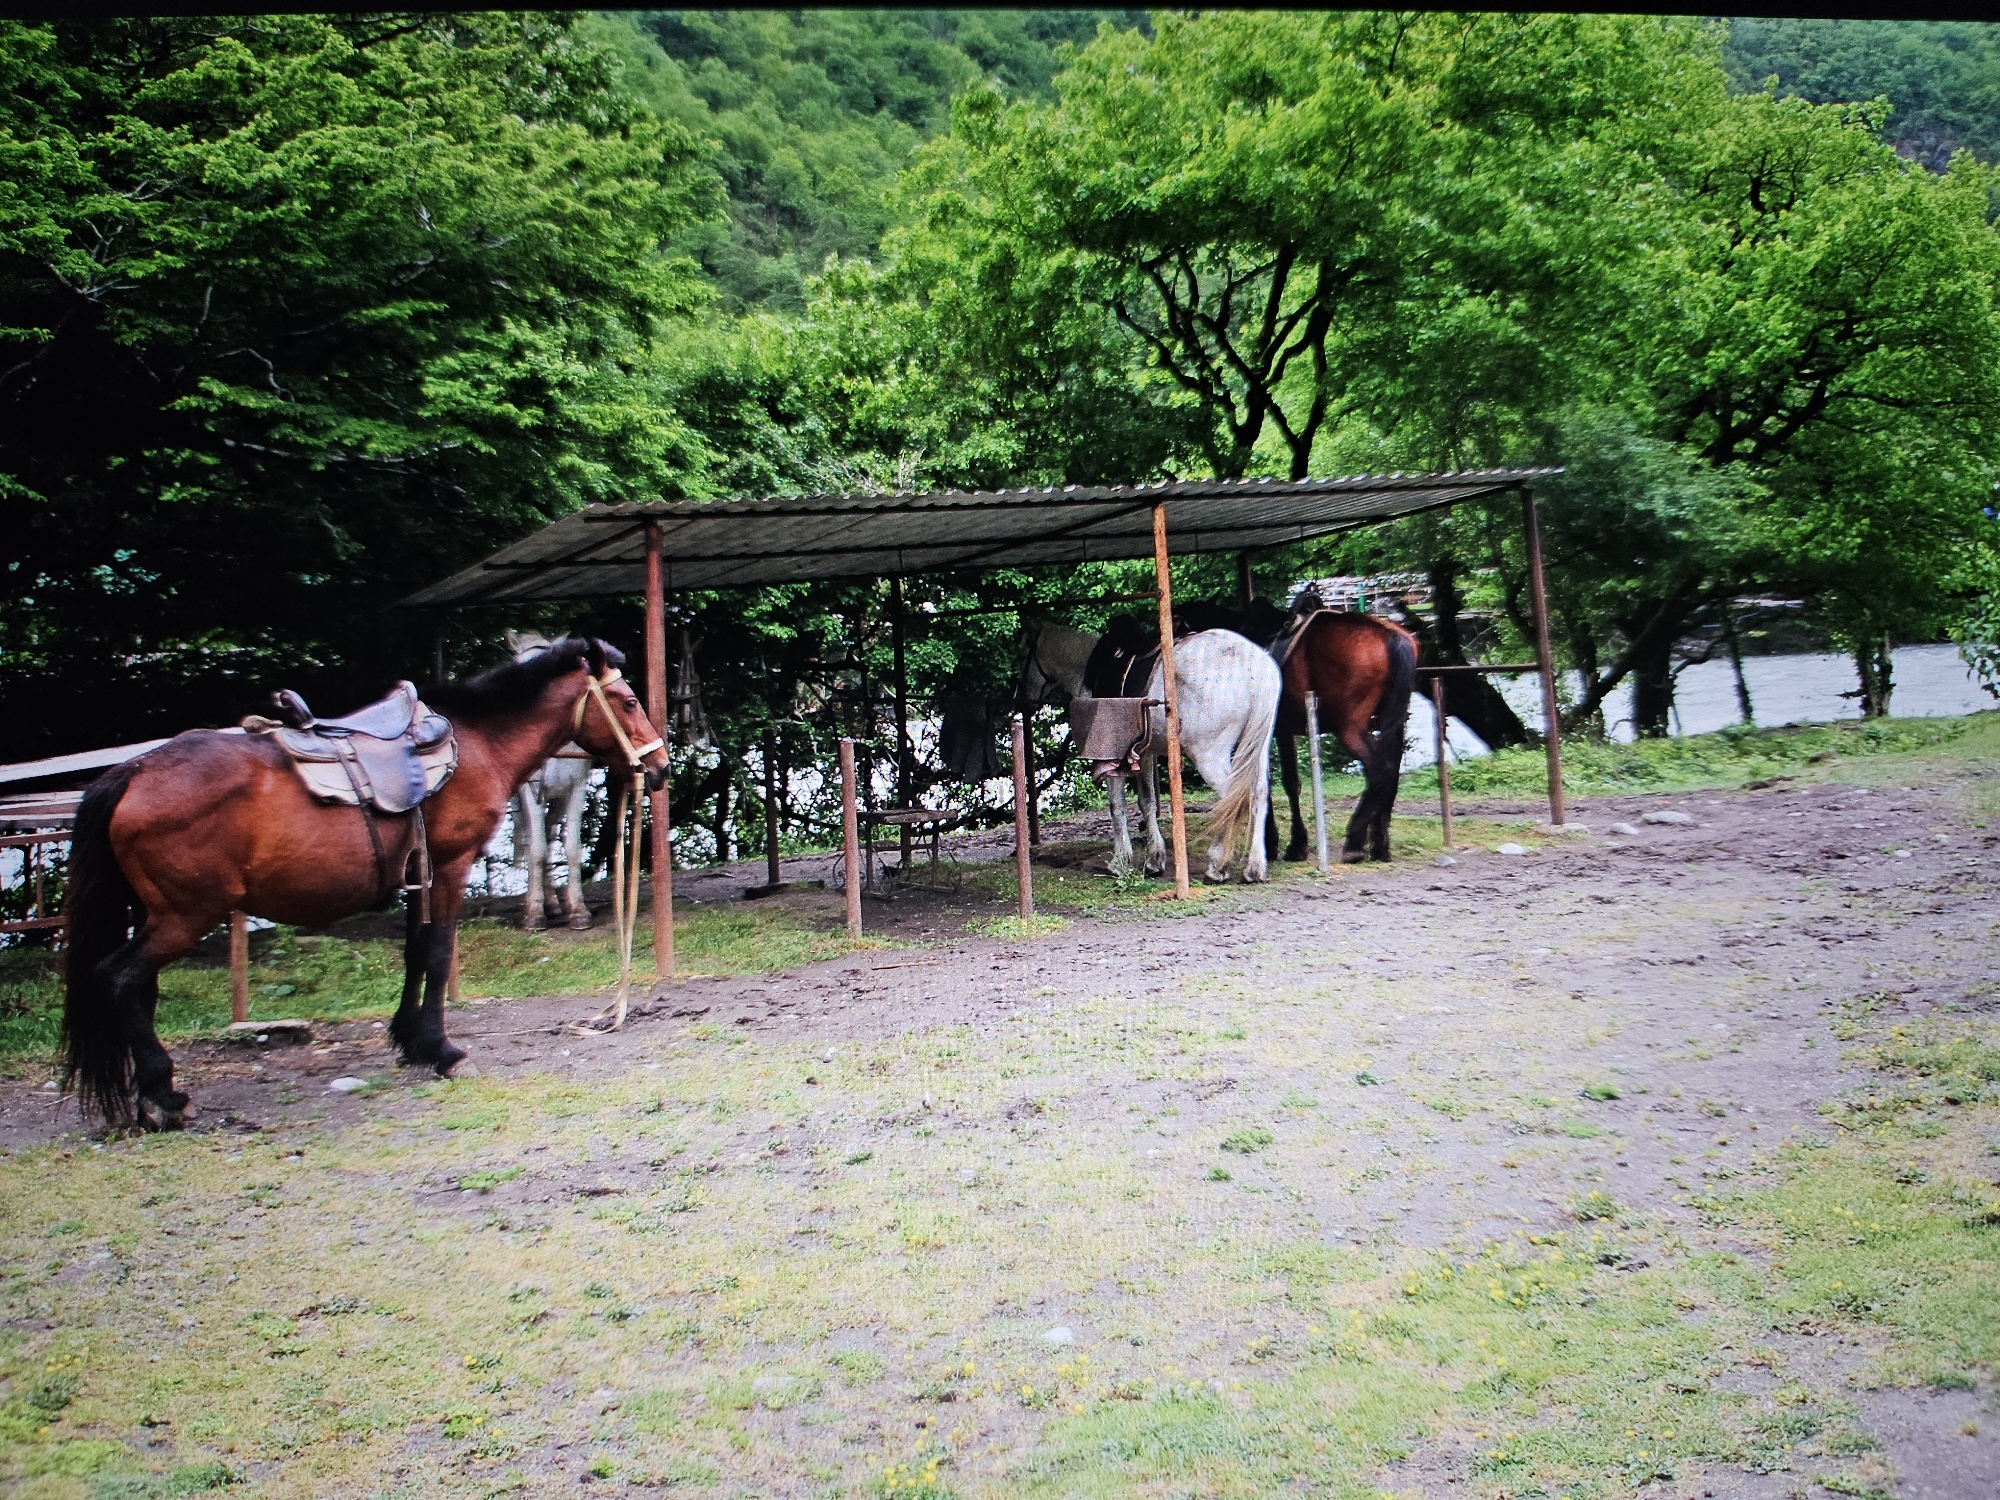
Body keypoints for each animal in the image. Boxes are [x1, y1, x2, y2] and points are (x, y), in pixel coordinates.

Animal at [506, 631, 596, 931]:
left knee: (549, 833)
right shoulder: (531, 792)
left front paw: (579, 911)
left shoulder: (576, 788)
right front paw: (534, 914)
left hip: (555, 799)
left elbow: (571, 847)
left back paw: (554, 903)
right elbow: (535, 849)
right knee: (529, 839)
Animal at [1023, 621, 1280, 882]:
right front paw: (1154, 860)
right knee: (1258, 794)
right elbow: (1147, 801)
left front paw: (1120, 862)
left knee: (1231, 800)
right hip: (1256, 750)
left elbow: (1116, 806)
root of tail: (1255, 666)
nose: (1023, 700)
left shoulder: (1110, 756)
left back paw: (1218, 865)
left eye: (1024, 652)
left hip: (1210, 756)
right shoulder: (1144, 754)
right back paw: (1255, 868)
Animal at [1176, 596, 1417, 864]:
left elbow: (1279, 781)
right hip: (1393, 724)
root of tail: (1390, 636)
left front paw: (1279, 844)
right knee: (1392, 772)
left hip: (1350, 729)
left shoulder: (1273, 732)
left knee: (1380, 770)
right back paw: (1379, 843)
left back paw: (1354, 842)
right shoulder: (1283, 731)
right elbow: (1286, 782)